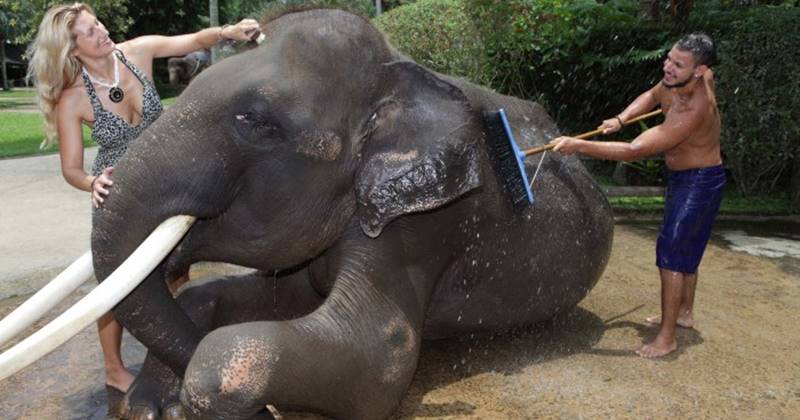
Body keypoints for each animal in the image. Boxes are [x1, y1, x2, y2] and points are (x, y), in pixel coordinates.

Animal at [1, 7, 614, 420]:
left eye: (255, 121)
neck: (397, 69)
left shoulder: (426, 225)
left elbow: (378, 356)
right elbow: (239, 296)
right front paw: (149, 406)